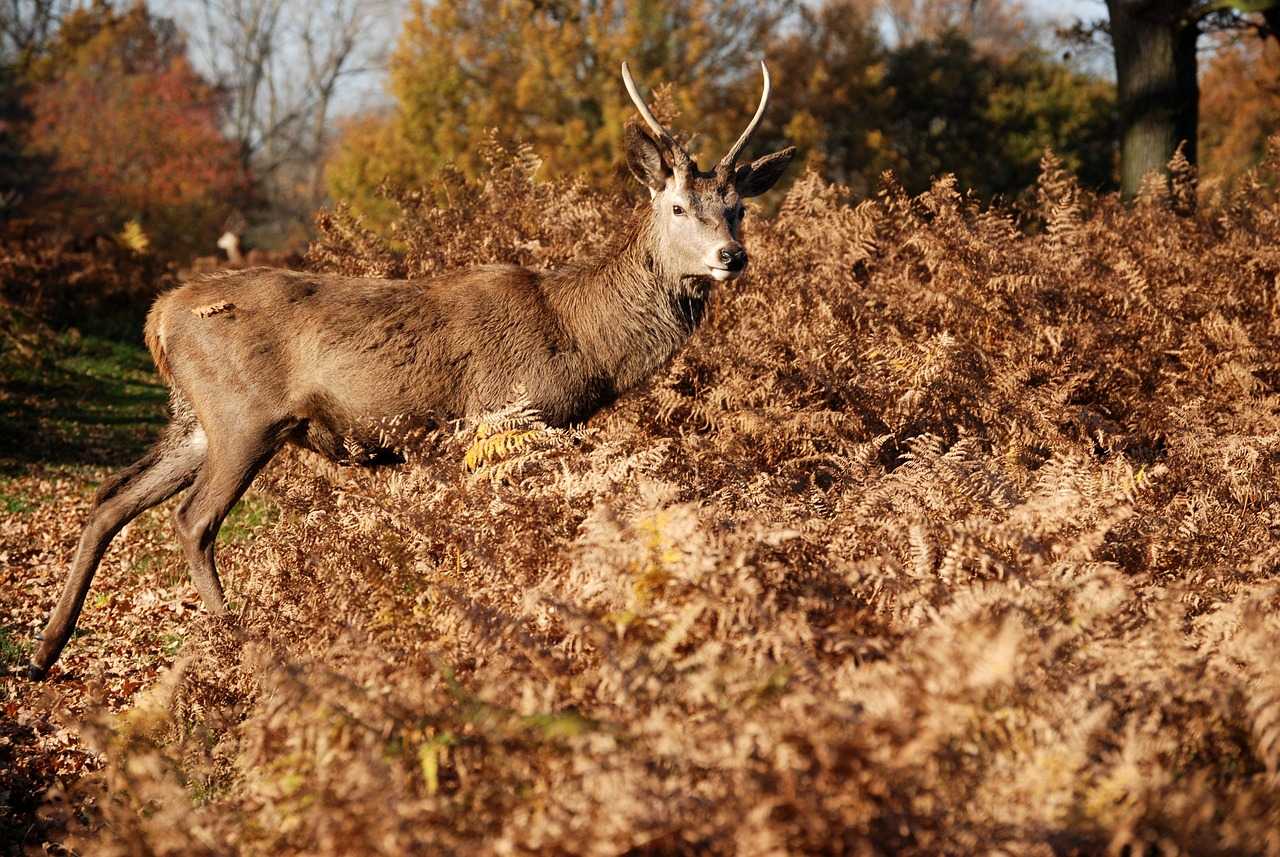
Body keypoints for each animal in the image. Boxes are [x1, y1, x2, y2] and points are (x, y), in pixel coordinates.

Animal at [24, 60, 793, 680]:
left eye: (738, 208)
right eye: (677, 205)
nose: (731, 256)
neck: (581, 341)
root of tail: (158, 318)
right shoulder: (502, 420)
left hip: (192, 421)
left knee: (110, 499)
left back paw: (43, 651)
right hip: (243, 416)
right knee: (191, 520)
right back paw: (240, 644)